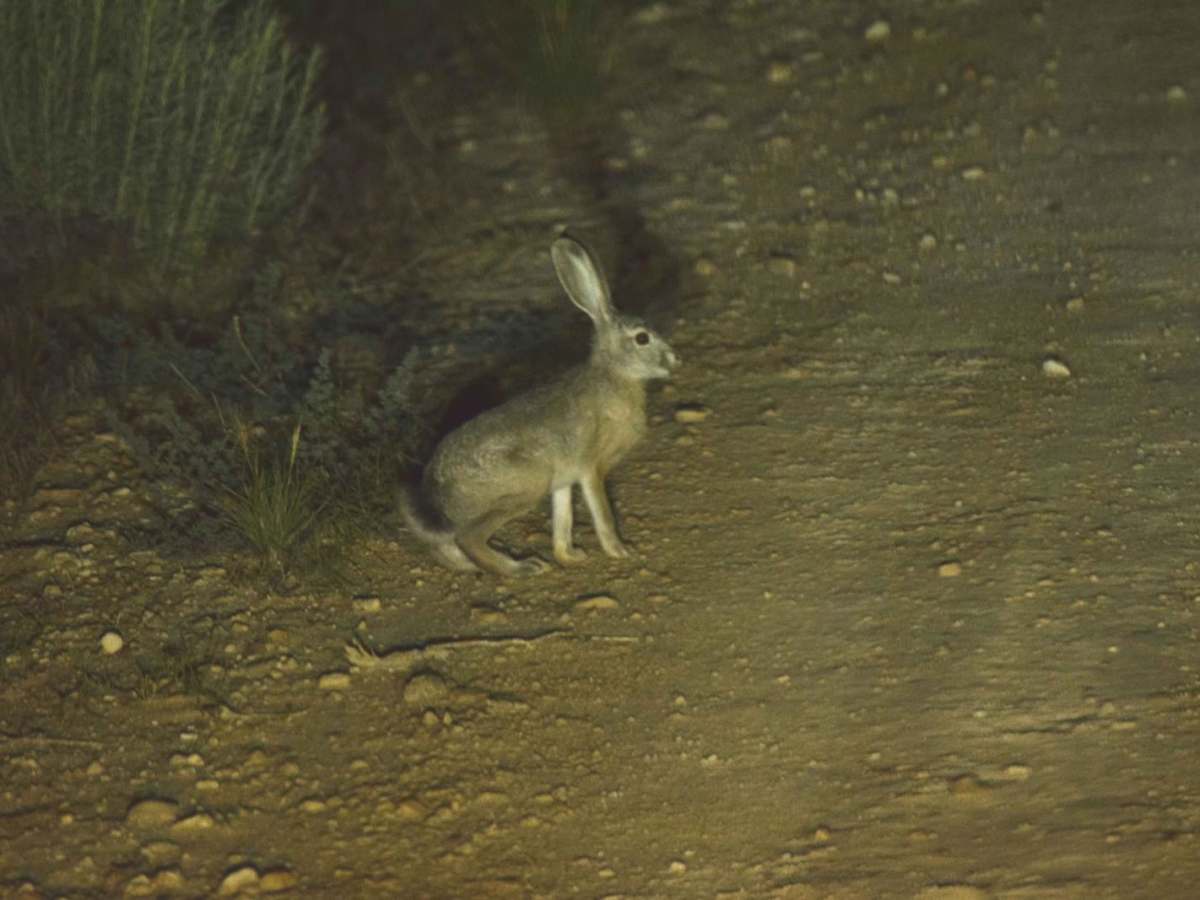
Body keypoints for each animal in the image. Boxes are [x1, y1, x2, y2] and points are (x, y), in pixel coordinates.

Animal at [402, 233, 679, 576]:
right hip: (527, 483)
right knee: (470, 538)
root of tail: (436, 492)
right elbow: (601, 512)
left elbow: (563, 517)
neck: (615, 374)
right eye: (642, 338)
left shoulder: (563, 481)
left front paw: (570, 556)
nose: (674, 360)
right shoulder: (590, 467)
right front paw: (620, 551)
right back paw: (521, 568)